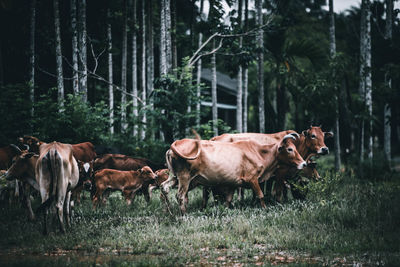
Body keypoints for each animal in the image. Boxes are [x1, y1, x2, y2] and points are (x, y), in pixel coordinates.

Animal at [161, 135, 304, 215]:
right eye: (290, 149)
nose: (303, 163)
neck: (259, 152)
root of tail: (176, 143)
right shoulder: (252, 179)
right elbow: (260, 195)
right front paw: (265, 209)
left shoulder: (233, 183)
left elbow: (228, 200)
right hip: (185, 178)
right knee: (180, 195)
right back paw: (183, 215)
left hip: (175, 177)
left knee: (164, 187)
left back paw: (169, 212)